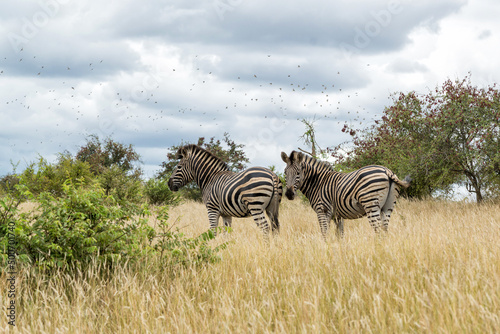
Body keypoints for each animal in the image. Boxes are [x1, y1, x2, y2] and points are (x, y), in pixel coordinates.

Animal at [282, 150, 410, 239]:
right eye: (285, 172)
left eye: (298, 173)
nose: (289, 194)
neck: (318, 182)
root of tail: (386, 171)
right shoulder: (337, 215)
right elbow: (340, 234)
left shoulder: (322, 210)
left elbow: (324, 232)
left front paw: (325, 249)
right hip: (388, 206)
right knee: (385, 229)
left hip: (370, 204)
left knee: (378, 229)